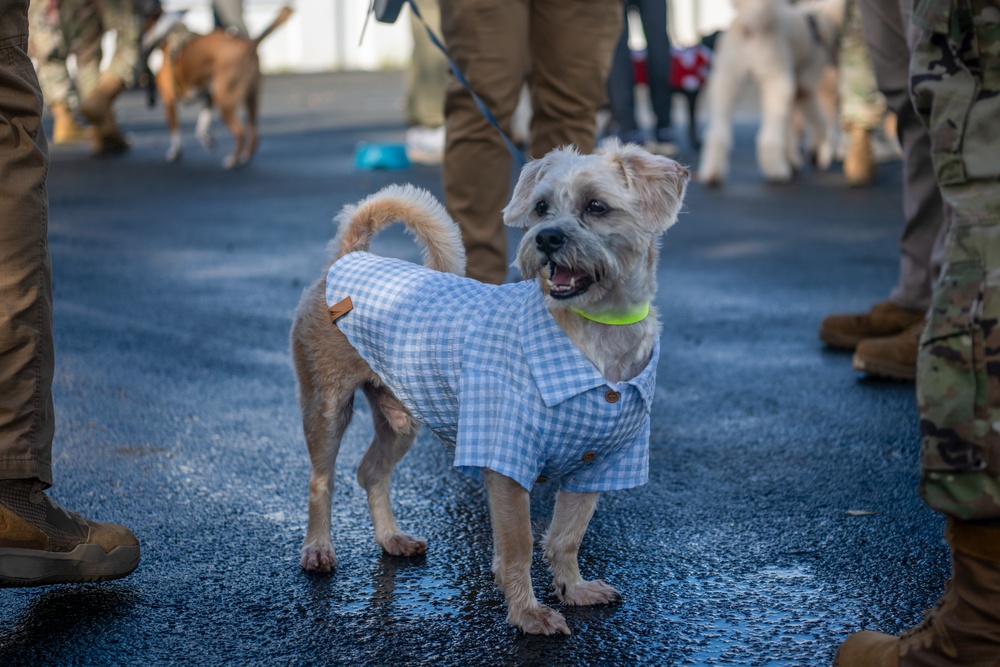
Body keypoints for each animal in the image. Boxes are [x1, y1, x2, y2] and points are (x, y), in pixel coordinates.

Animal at [140, 6, 292, 168]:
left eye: (144, 25)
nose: (141, 42)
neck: (170, 33)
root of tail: (247, 45)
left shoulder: (169, 100)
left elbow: (174, 131)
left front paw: (175, 153)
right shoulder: (208, 97)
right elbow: (201, 127)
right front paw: (208, 141)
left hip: (224, 101)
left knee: (240, 132)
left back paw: (233, 160)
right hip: (251, 100)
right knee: (254, 133)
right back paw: (245, 157)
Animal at [292, 144, 692, 636]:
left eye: (596, 207)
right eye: (541, 207)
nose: (546, 238)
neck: (596, 330)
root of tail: (350, 255)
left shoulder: (599, 464)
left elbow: (566, 536)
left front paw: (573, 588)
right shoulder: (506, 466)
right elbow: (519, 545)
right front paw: (527, 613)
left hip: (400, 417)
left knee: (370, 471)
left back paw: (391, 537)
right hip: (327, 407)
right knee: (321, 479)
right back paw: (318, 548)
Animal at [700, 0, 848, 184]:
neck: (822, 23)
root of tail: (751, 23)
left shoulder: (795, 91)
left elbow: (788, 130)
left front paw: (792, 159)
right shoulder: (803, 90)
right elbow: (818, 121)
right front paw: (822, 145)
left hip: (726, 84)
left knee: (717, 134)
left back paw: (712, 173)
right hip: (776, 83)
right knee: (768, 137)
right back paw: (776, 170)